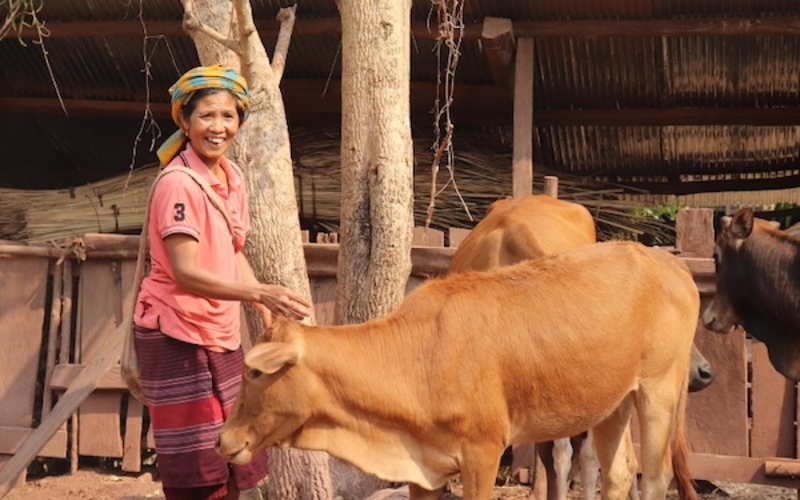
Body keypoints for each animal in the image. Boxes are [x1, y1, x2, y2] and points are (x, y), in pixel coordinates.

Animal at [216, 240, 696, 498]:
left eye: (255, 373)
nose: (223, 440)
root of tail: (668, 261)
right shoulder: (421, 467)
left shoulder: (482, 453)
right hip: (614, 403)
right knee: (619, 474)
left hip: (659, 390)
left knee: (655, 478)